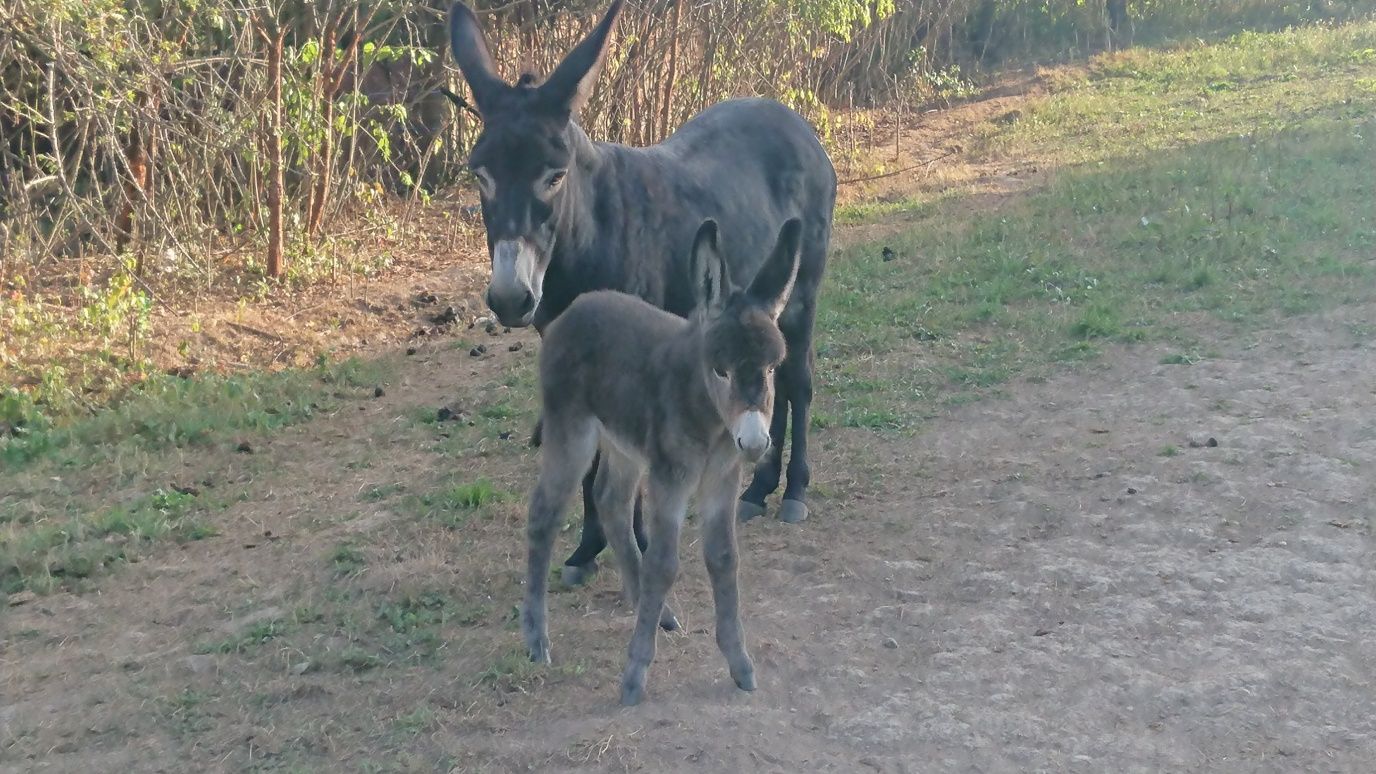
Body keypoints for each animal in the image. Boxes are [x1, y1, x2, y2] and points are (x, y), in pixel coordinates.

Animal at [517, 218, 803, 705]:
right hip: (572, 434)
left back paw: (656, 612)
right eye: (722, 370)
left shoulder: (722, 480)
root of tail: (576, 307)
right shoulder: (670, 479)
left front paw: (740, 664)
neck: (710, 421)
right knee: (543, 515)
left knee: (610, 502)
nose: (753, 442)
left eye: (769, 369)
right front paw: (635, 674)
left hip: (624, 444)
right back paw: (537, 640)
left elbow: (724, 559)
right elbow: (664, 563)